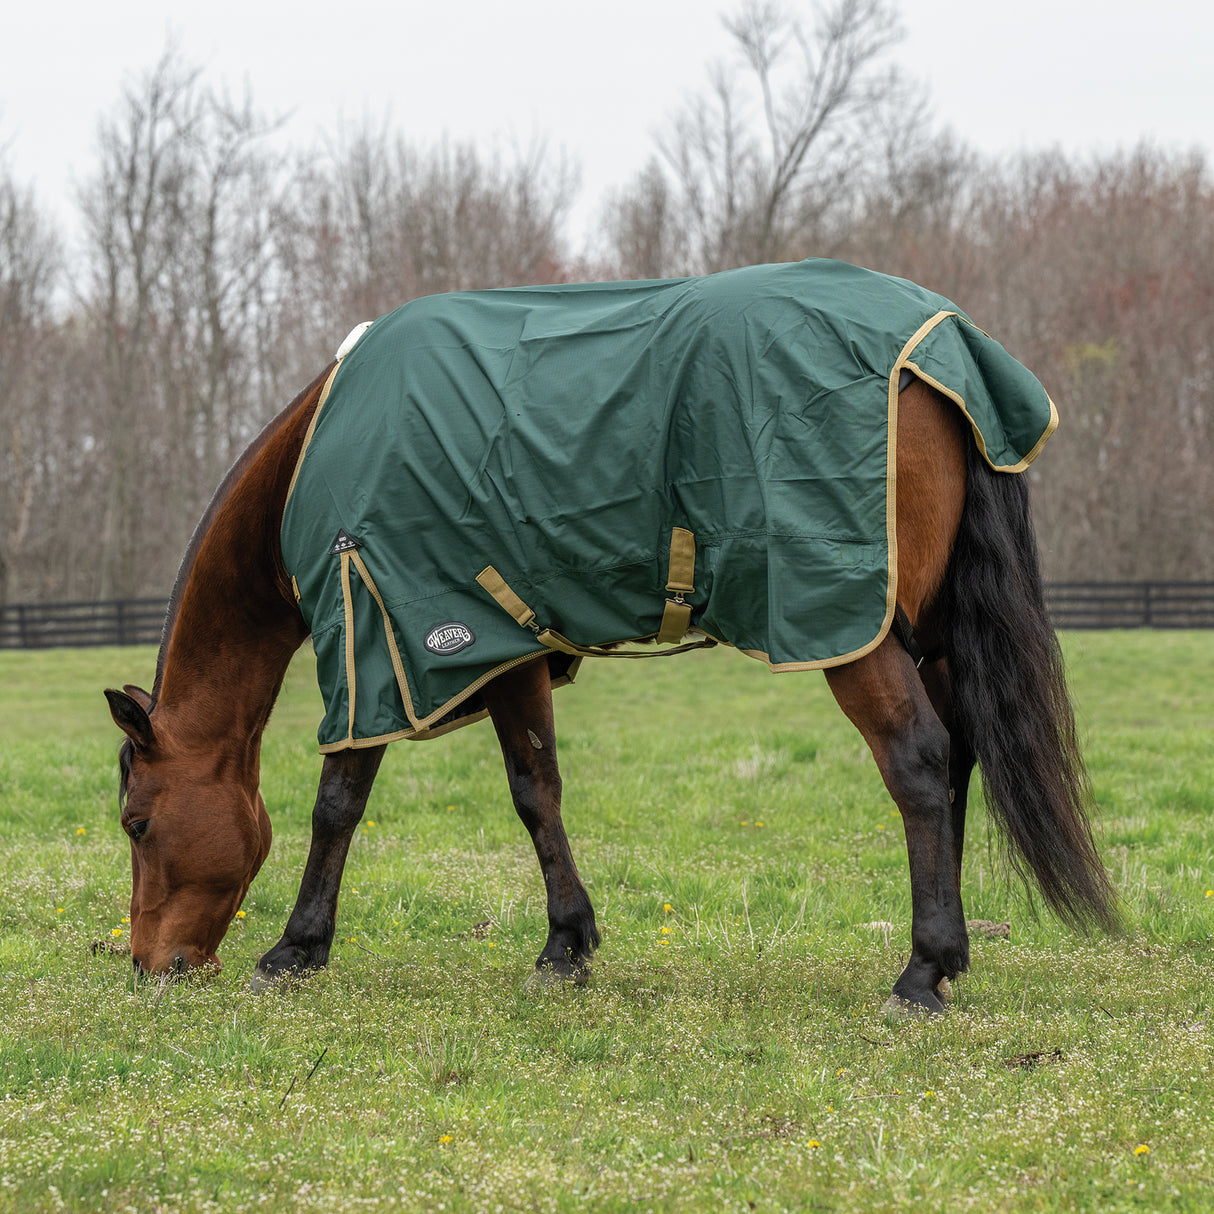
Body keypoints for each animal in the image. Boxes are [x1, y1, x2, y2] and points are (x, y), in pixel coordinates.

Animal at [105, 260, 1119, 1015]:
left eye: (136, 822)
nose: (152, 965)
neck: (322, 452)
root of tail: (942, 344)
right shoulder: (498, 645)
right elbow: (536, 792)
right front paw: (566, 945)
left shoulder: (375, 635)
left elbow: (337, 803)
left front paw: (295, 949)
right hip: (927, 633)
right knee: (956, 764)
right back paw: (948, 958)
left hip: (848, 629)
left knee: (916, 762)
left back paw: (921, 970)